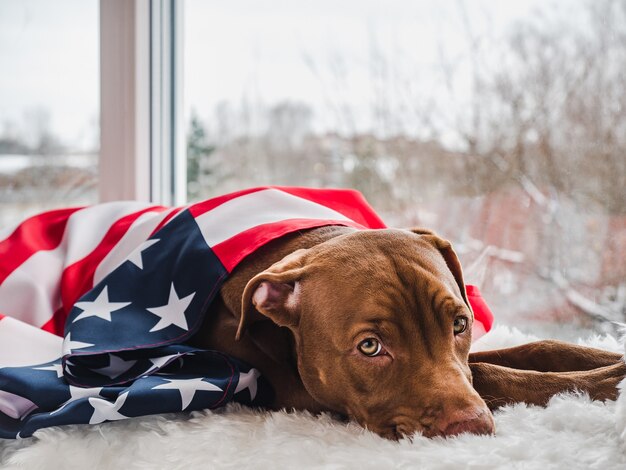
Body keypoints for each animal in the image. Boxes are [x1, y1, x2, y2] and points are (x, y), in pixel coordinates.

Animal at [191, 226, 624, 438]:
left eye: (460, 325)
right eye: (370, 346)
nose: (472, 426)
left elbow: (533, 347)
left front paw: (609, 359)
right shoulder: (298, 391)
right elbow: (488, 373)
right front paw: (608, 382)